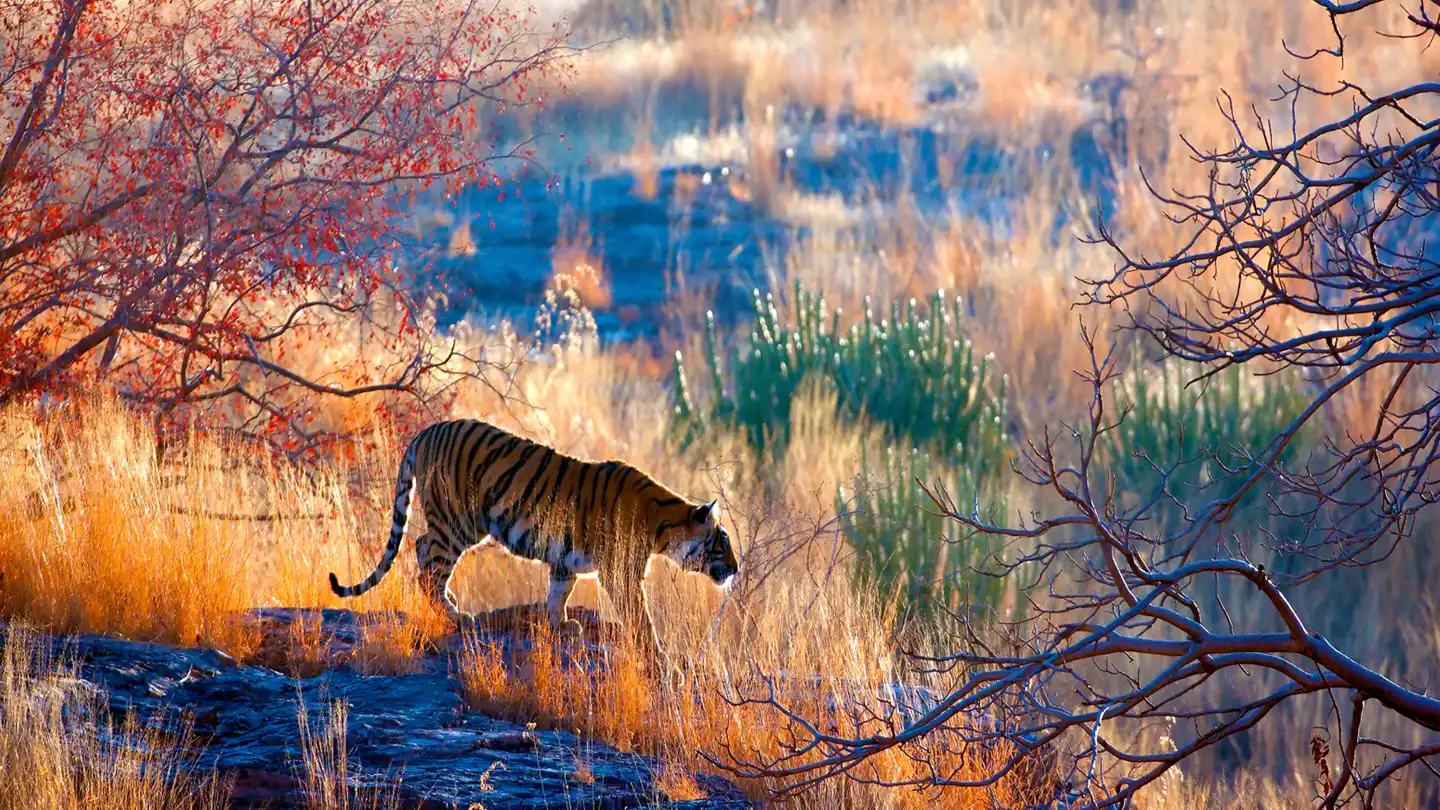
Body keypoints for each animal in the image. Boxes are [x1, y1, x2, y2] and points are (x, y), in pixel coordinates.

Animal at [328, 419, 739, 666]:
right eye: (722, 541)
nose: (736, 569)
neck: (664, 527)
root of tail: (426, 432)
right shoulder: (622, 575)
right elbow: (641, 618)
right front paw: (661, 658)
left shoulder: (565, 561)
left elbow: (558, 594)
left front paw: (562, 626)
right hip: (458, 521)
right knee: (428, 560)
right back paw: (456, 614)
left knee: (420, 548)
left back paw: (451, 602)